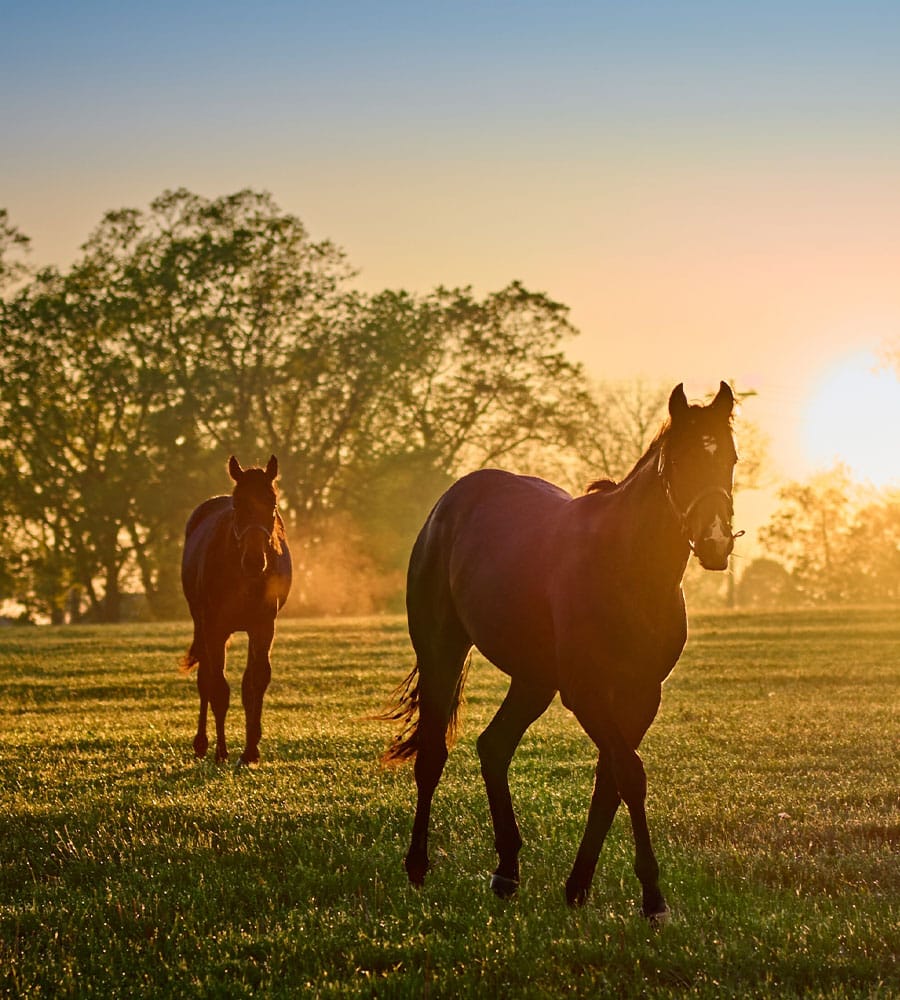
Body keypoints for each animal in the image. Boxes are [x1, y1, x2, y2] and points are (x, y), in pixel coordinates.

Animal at [181, 455, 292, 766]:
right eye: (238, 503)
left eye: (273, 503)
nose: (255, 560)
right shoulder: (214, 628)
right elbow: (217, 687)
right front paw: (221, 750)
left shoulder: (263, 626)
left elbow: (256, 682)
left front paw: (251, 749)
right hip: (202, 624)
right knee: (205, 678)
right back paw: (202, 743)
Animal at [379, 382, 740, 919]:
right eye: (680, 460)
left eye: (730, 459)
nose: (715, 541)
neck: (627, 565)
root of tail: (450, 503)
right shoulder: (585, 692)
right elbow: (629, 774)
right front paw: (652, 897)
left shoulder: (641, 695)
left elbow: (611, 780)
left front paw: (578, 885)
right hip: (442, 652)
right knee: (433, 753)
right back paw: (418, 865)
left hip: (533, 680)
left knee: (494, 746)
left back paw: (507, 870)